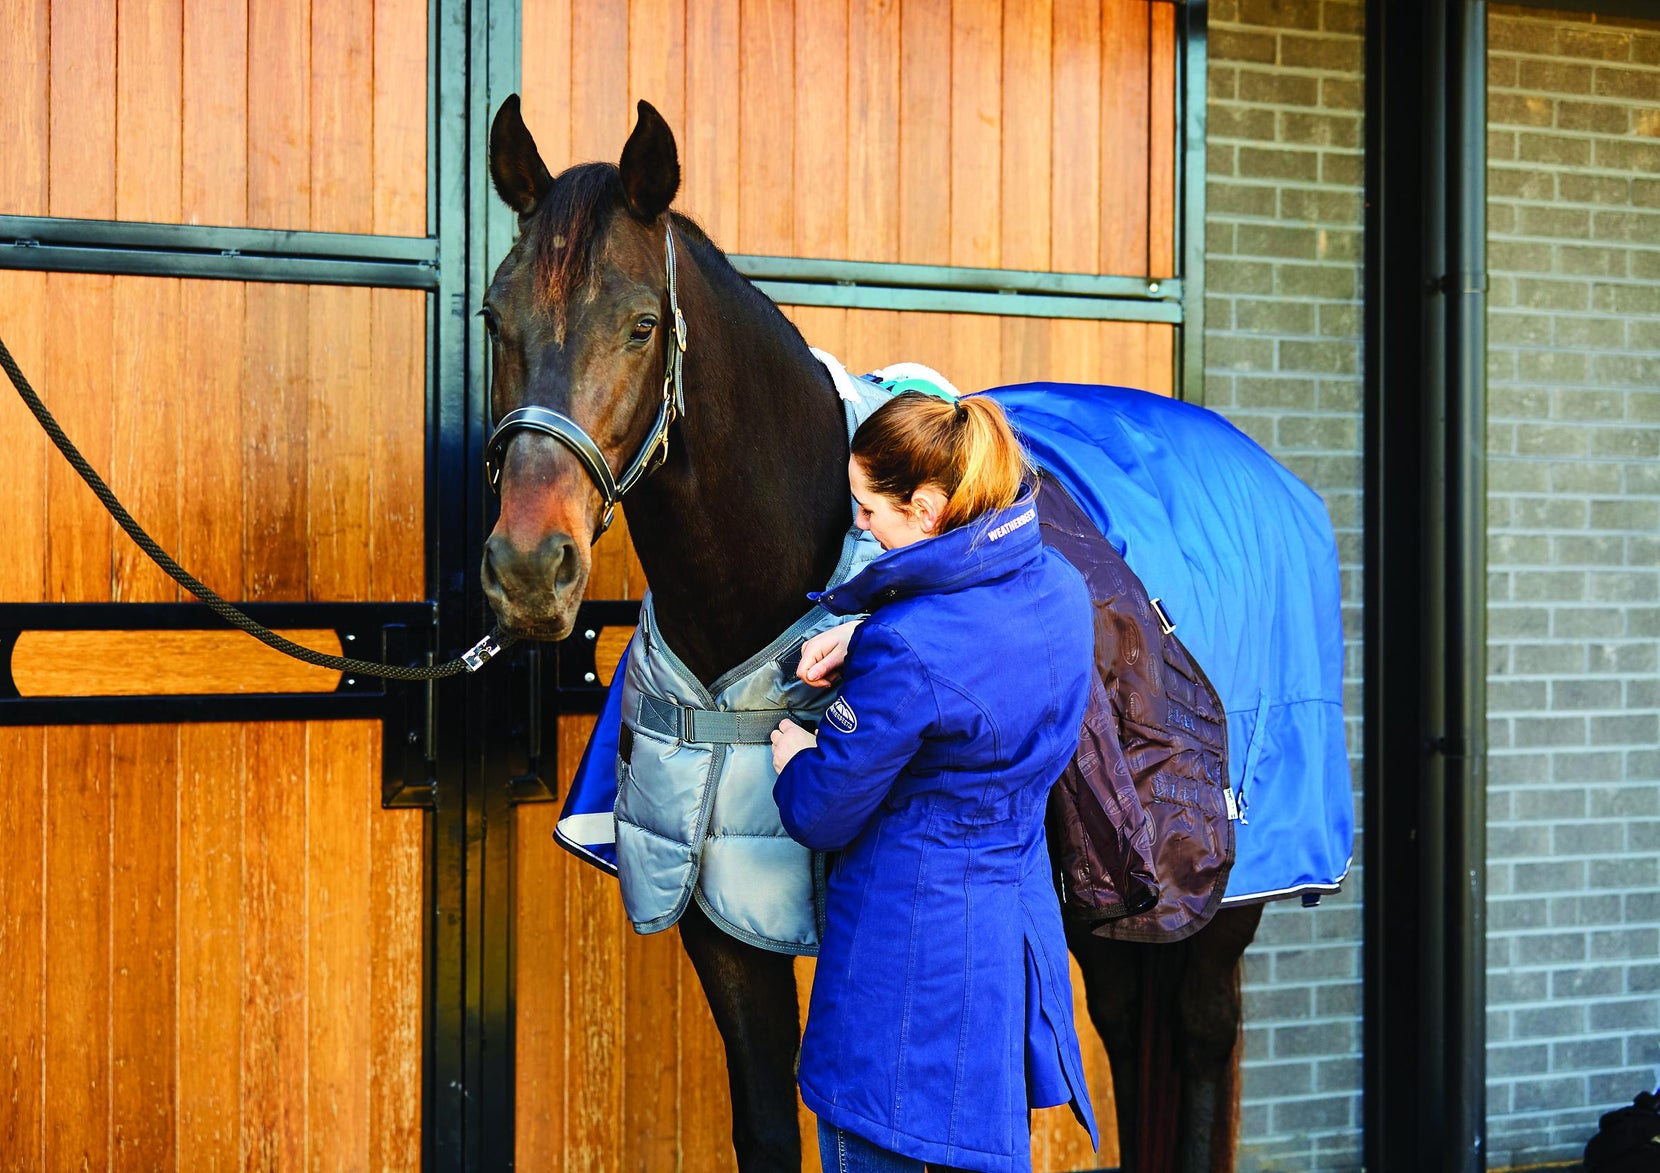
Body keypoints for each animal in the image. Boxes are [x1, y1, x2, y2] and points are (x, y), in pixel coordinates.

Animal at [479, 94, 1264, 1173]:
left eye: (641, 324)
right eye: (493, 317)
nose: (528, 568)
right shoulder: (719, 908)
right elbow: (768, 1124)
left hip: (1227, 900)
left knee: (1196, 1043)